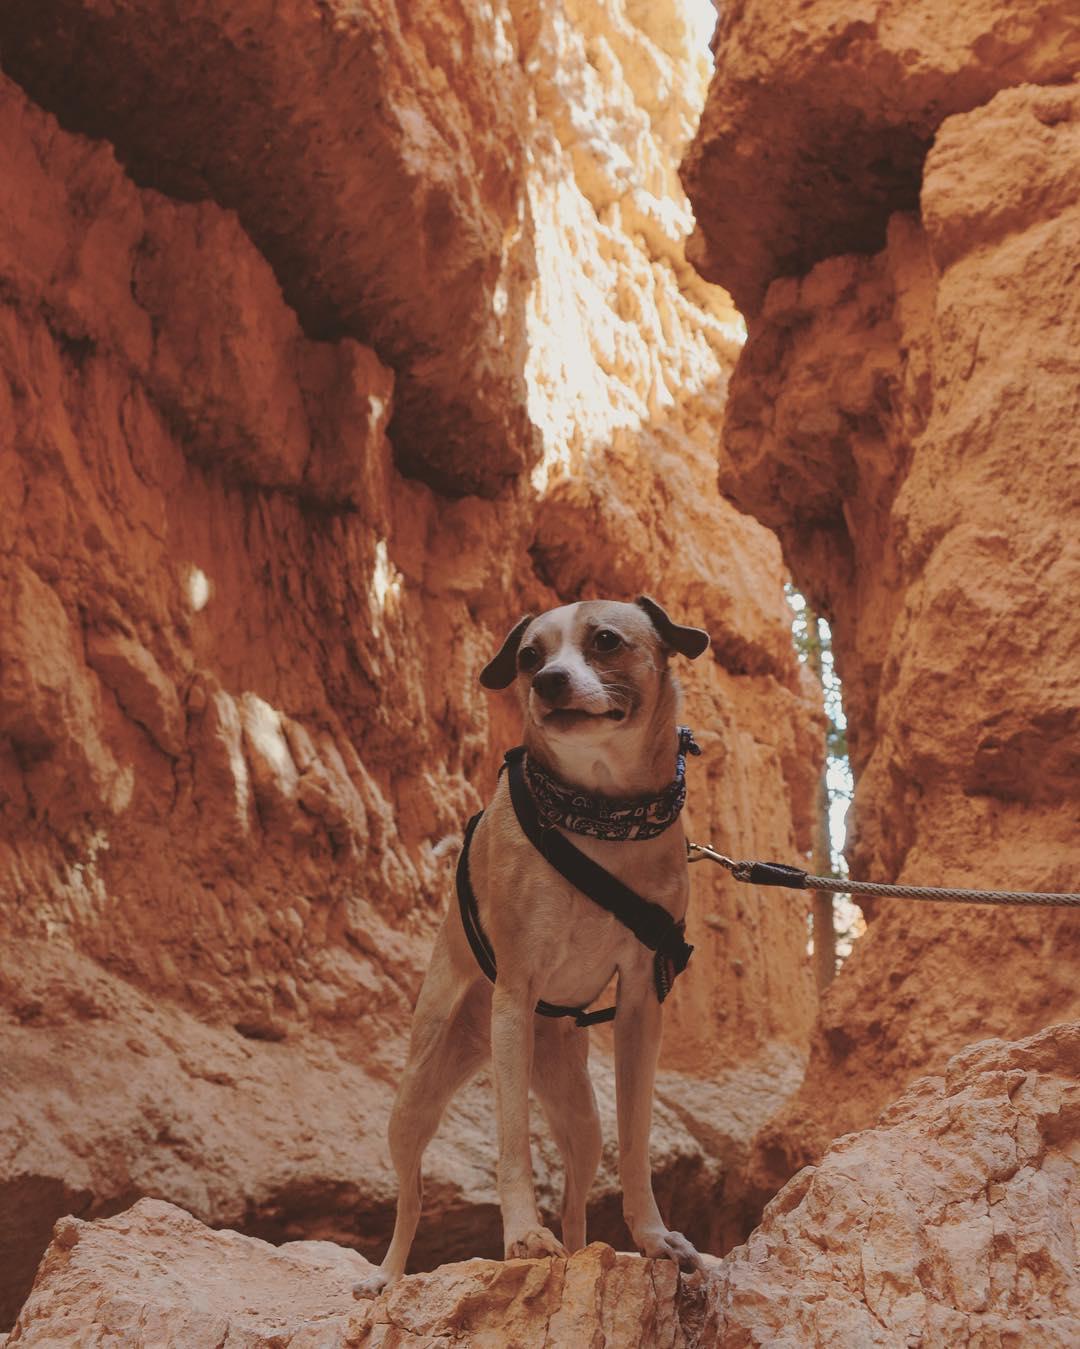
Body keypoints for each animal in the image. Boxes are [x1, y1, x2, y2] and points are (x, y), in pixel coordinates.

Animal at [350, 598, 706, 1295]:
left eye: (606, 640)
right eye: (528, 657)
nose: (548, 681)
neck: (599, 818)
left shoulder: (641, 1002)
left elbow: (636, 1144)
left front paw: (653, 1238)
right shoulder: (515, 991)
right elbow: (512, 1141)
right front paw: (520, 1235)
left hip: (580, 1115)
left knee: (575, 1196)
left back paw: (585, 1250)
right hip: (416, 1100)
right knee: (410, 1200)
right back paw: (389, 1274)